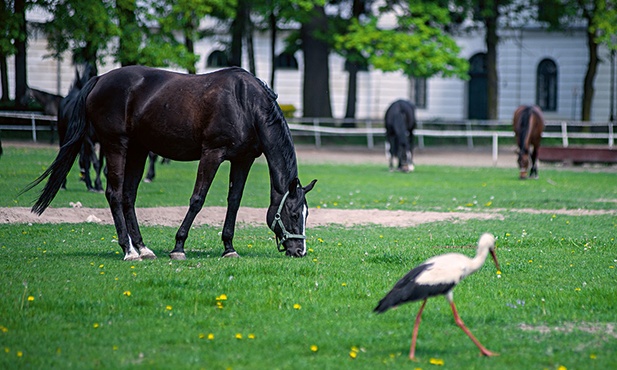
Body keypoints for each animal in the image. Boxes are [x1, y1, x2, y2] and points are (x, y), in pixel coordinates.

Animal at [21, 66, 316, 260]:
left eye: (306, 214)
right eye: (293, 214)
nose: (299, 250)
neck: (244, 103)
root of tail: (99, 79)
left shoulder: (242, 160)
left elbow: (234, 202)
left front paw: (229, 248)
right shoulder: (212, 154)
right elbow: (198, 199)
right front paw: (178, 246)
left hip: (138, 150)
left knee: (128, 196)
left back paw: (142, 248)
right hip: (116, 145)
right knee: (114, 193)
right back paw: (129, 251)